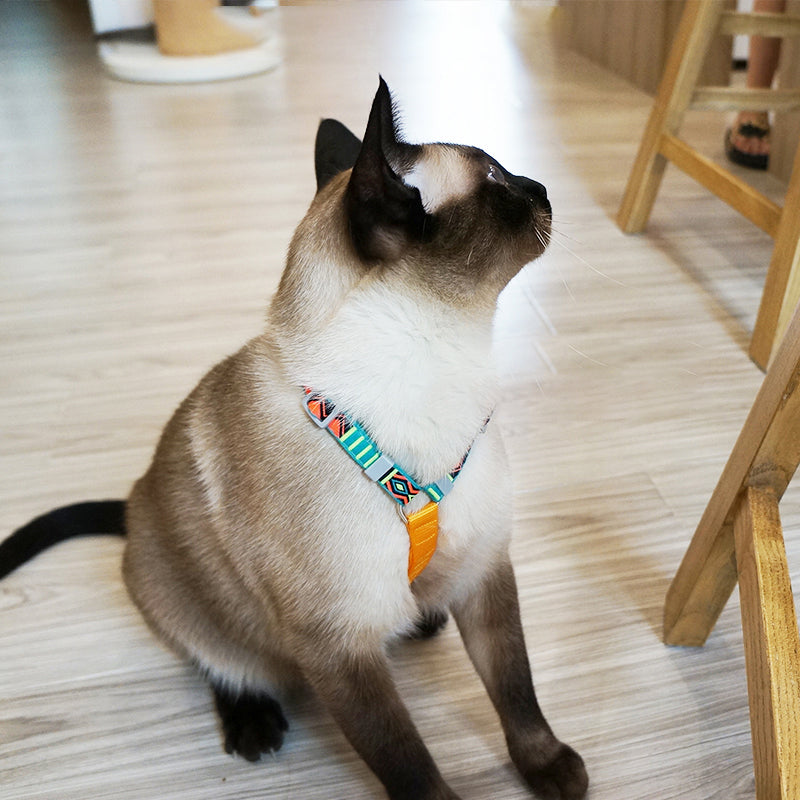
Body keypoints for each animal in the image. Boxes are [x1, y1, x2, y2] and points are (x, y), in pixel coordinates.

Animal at [0, 79, 588, 800]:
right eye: (499, 180)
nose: (541, 187)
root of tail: (134, 509)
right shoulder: (336, 648)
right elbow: (406, 759)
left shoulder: (484, 572)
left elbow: (517, 691)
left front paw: (550, 769)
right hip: (189, 605)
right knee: (223, 662)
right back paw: (254, 725)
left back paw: (420, 618)